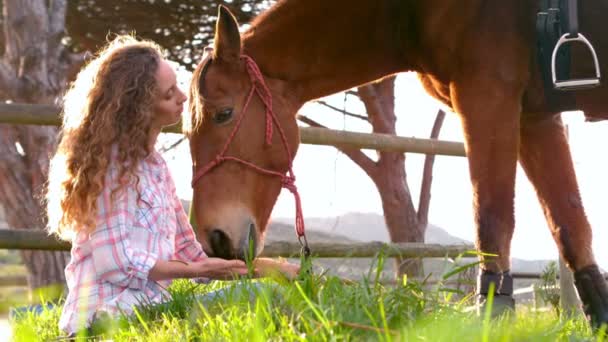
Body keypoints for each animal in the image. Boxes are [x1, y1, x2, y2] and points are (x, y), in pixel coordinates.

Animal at [186, 0, 608, 326]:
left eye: (224, 114)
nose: (213, 238)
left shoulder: (488, 98)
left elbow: (492, 221)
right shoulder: (535, 118)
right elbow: (571, 229)